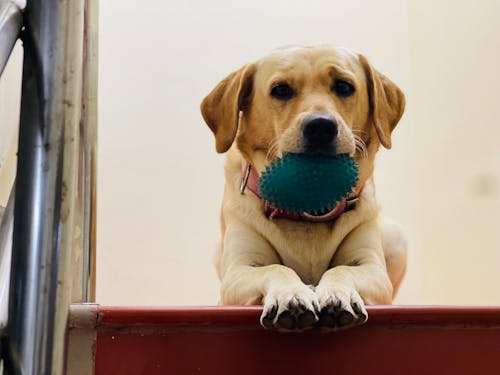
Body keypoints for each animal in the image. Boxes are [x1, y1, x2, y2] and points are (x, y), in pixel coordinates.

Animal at [201, 45, 408, 330]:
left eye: (343, 86)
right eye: (281, 90)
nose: (321, 126)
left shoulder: (372, 268)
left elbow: (341, 269)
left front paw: (337, 294)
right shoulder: (237, 271)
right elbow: (276, 268)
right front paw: (291, 294)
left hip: (396, 237)